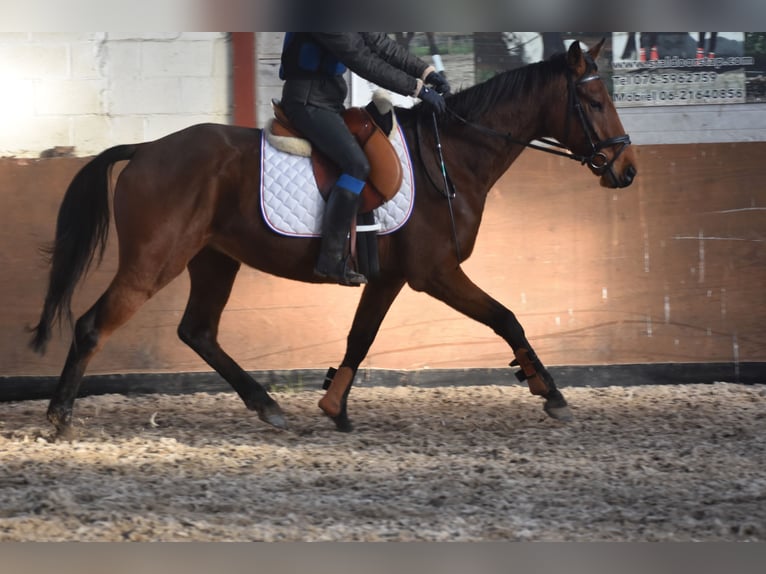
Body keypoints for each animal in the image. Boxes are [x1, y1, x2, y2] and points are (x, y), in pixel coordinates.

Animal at [28, 39, 636, 440]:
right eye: (596, 102)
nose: (627, 171)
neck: (453, 157)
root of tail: (147, 148)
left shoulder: (390, 277)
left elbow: (359, 338)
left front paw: (333, 406)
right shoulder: (436, 273)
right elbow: (507, 318)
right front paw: (550, 393)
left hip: (214, 259)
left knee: (197, 330)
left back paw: (266, 404)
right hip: (155, 260)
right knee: (93, 325)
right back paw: (59, 418)